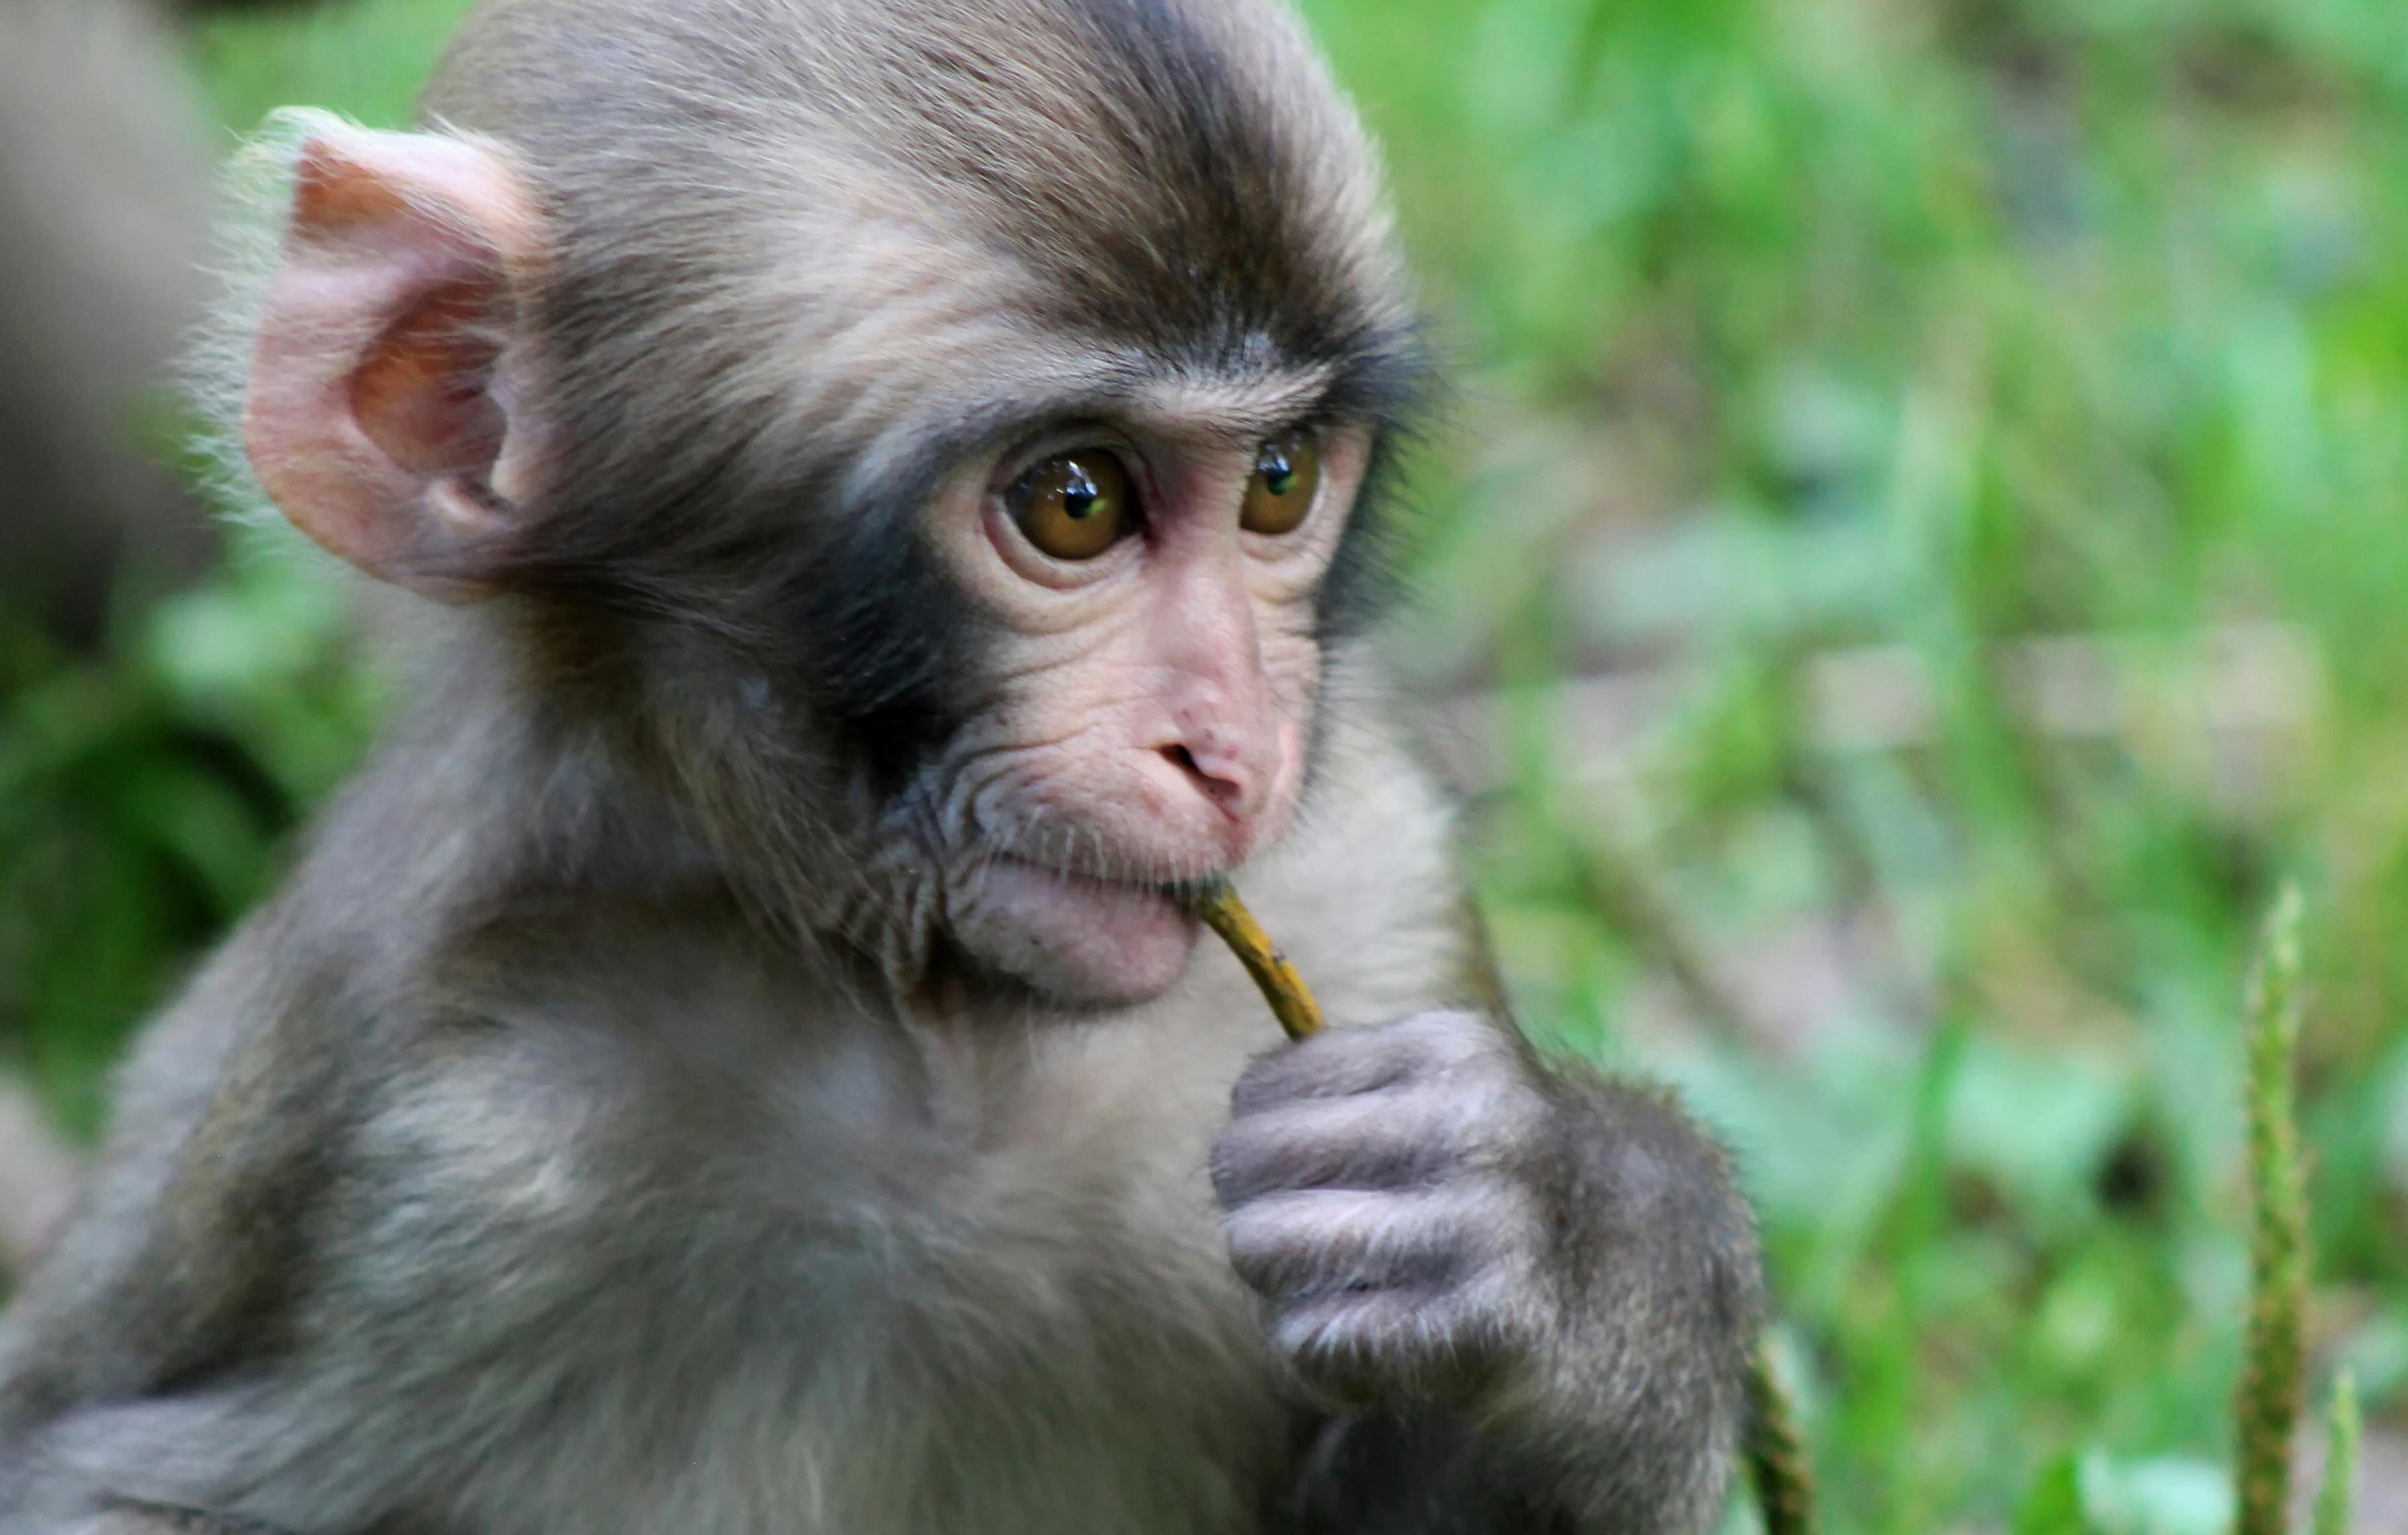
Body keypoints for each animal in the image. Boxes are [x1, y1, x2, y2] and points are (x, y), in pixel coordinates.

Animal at [0, 1, 1762, 1532]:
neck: (932, 1035)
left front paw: (1574, 1238)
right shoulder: (438, 1136)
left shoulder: (1375, 884)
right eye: (1073, 503)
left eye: (1276, 481)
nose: (1230, 748)